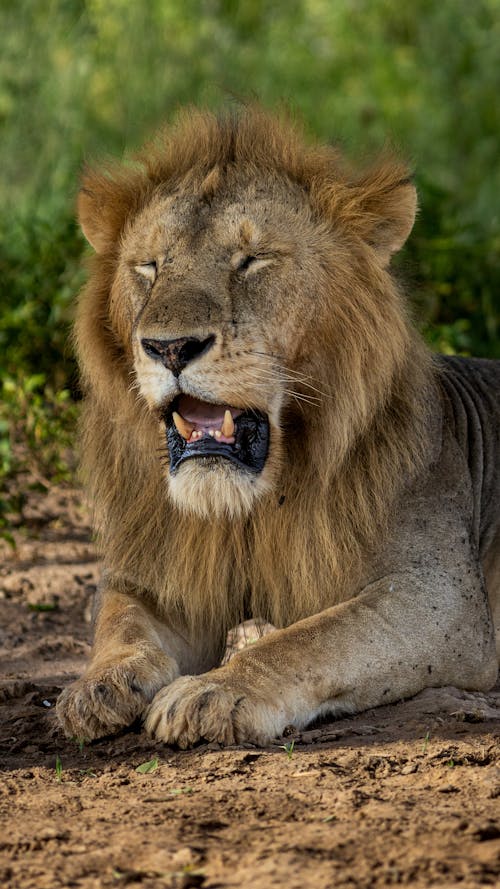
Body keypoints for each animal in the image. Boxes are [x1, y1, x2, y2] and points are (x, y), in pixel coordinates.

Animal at [55, 104, 500, 744]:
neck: (255, 508)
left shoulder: (443, 598)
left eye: (253, 260)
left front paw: (213, 692)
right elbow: (121, 621)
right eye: (149, 266)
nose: (169, 348)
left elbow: (306, 642)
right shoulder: (165, 573)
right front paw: (96, 688)